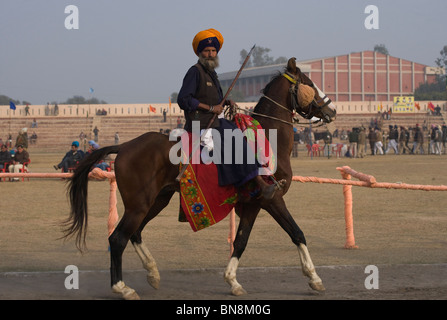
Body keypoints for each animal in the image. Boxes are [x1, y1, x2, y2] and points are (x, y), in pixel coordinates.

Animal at [63, 57, 336, 300]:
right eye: (310, 83)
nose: (332, 109)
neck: (267, 136)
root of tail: (125, 146)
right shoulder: (272, 198)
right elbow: (297, 233)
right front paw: (314, 278)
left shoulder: (252, 204)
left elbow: (240, 241)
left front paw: (232, 280)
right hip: (138, 205)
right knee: (118, 238)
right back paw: (122, 288)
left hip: (156, 200)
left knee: (135, 233)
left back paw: (152, 273)